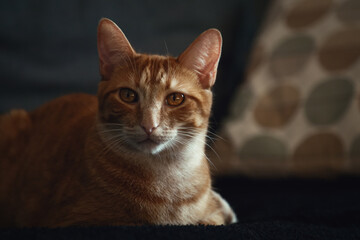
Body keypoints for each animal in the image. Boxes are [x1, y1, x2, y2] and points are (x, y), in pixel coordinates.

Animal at [0, 17, 238, 226]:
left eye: (175, 99)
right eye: (128, 95)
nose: (149, 125)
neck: (166, 175)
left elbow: (214, 217)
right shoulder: (78, 219)